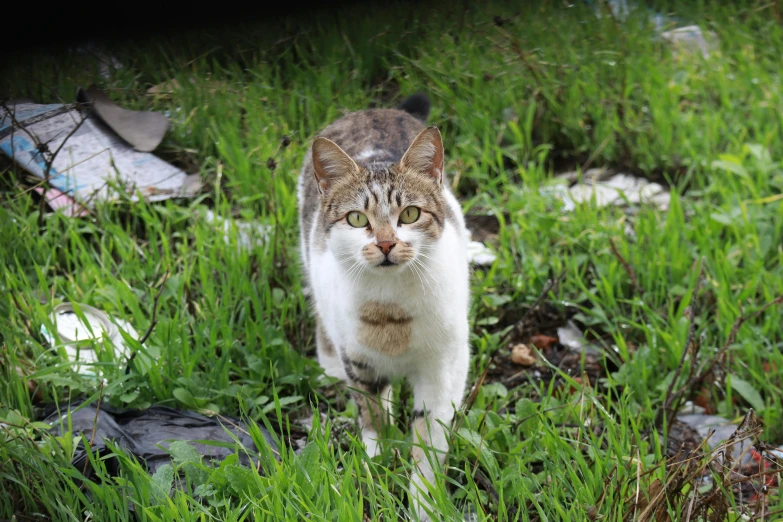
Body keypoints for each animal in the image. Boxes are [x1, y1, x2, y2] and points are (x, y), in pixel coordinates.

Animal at [298, 92, 472, 516]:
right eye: (357, 219)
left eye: (409, 213)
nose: (387, 243)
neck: (391, 313)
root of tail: (375, 110)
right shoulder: (359, 361)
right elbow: (372, 420)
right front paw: (376, 473)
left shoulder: (444, 368)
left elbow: (429, 439)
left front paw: (424, 503)